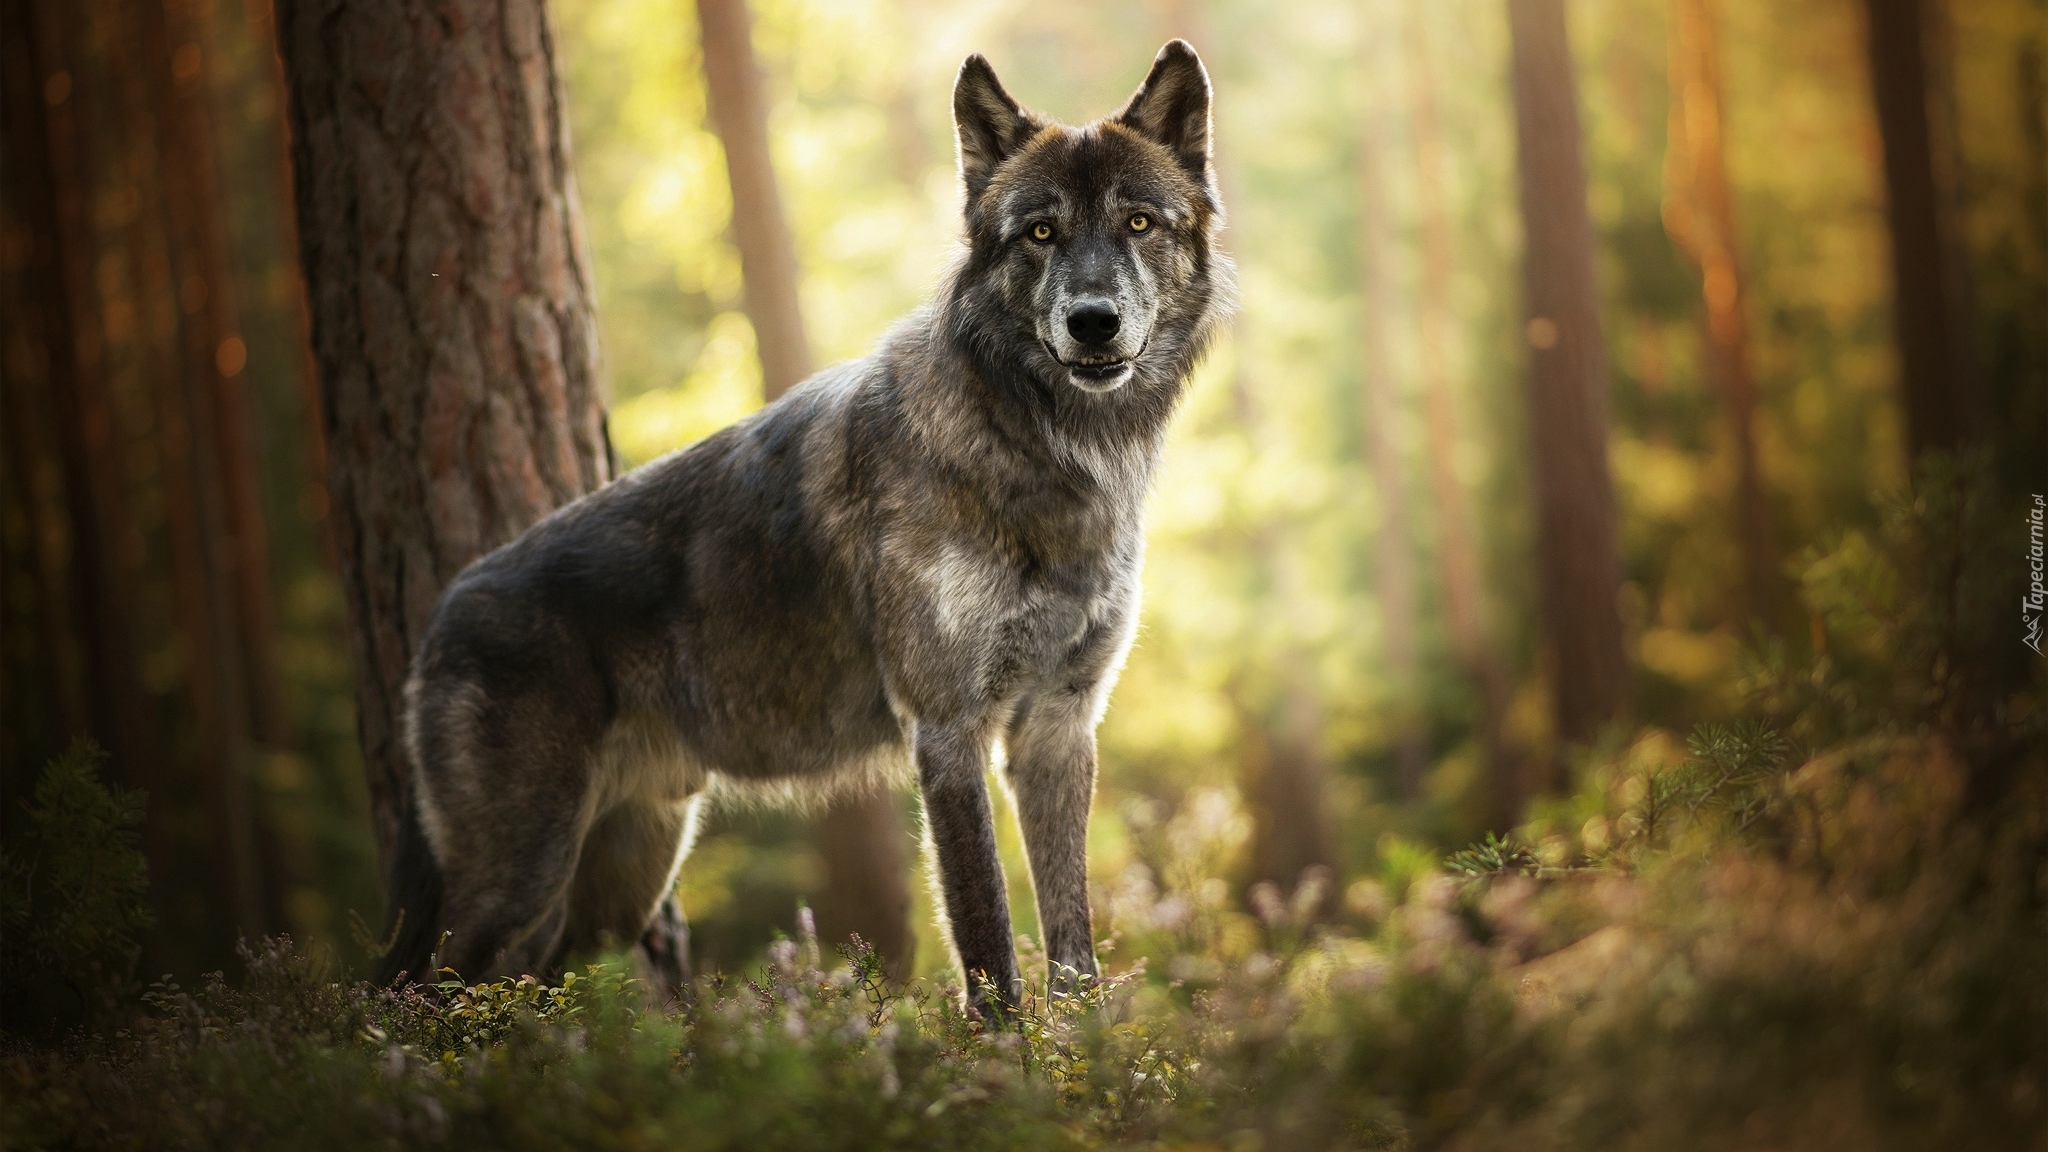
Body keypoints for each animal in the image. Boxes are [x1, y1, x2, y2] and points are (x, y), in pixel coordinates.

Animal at [380, 35, 1228, 1012]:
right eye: (1041, 232)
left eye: (1139, 223)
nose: (1093, 323)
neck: (1041, 448)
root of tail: (441, 613)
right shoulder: (948, 734)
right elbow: (990, 953)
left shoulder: (1056, 733)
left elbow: (1074, 955)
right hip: (520, 880)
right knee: (413, 998)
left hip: (610, 890)